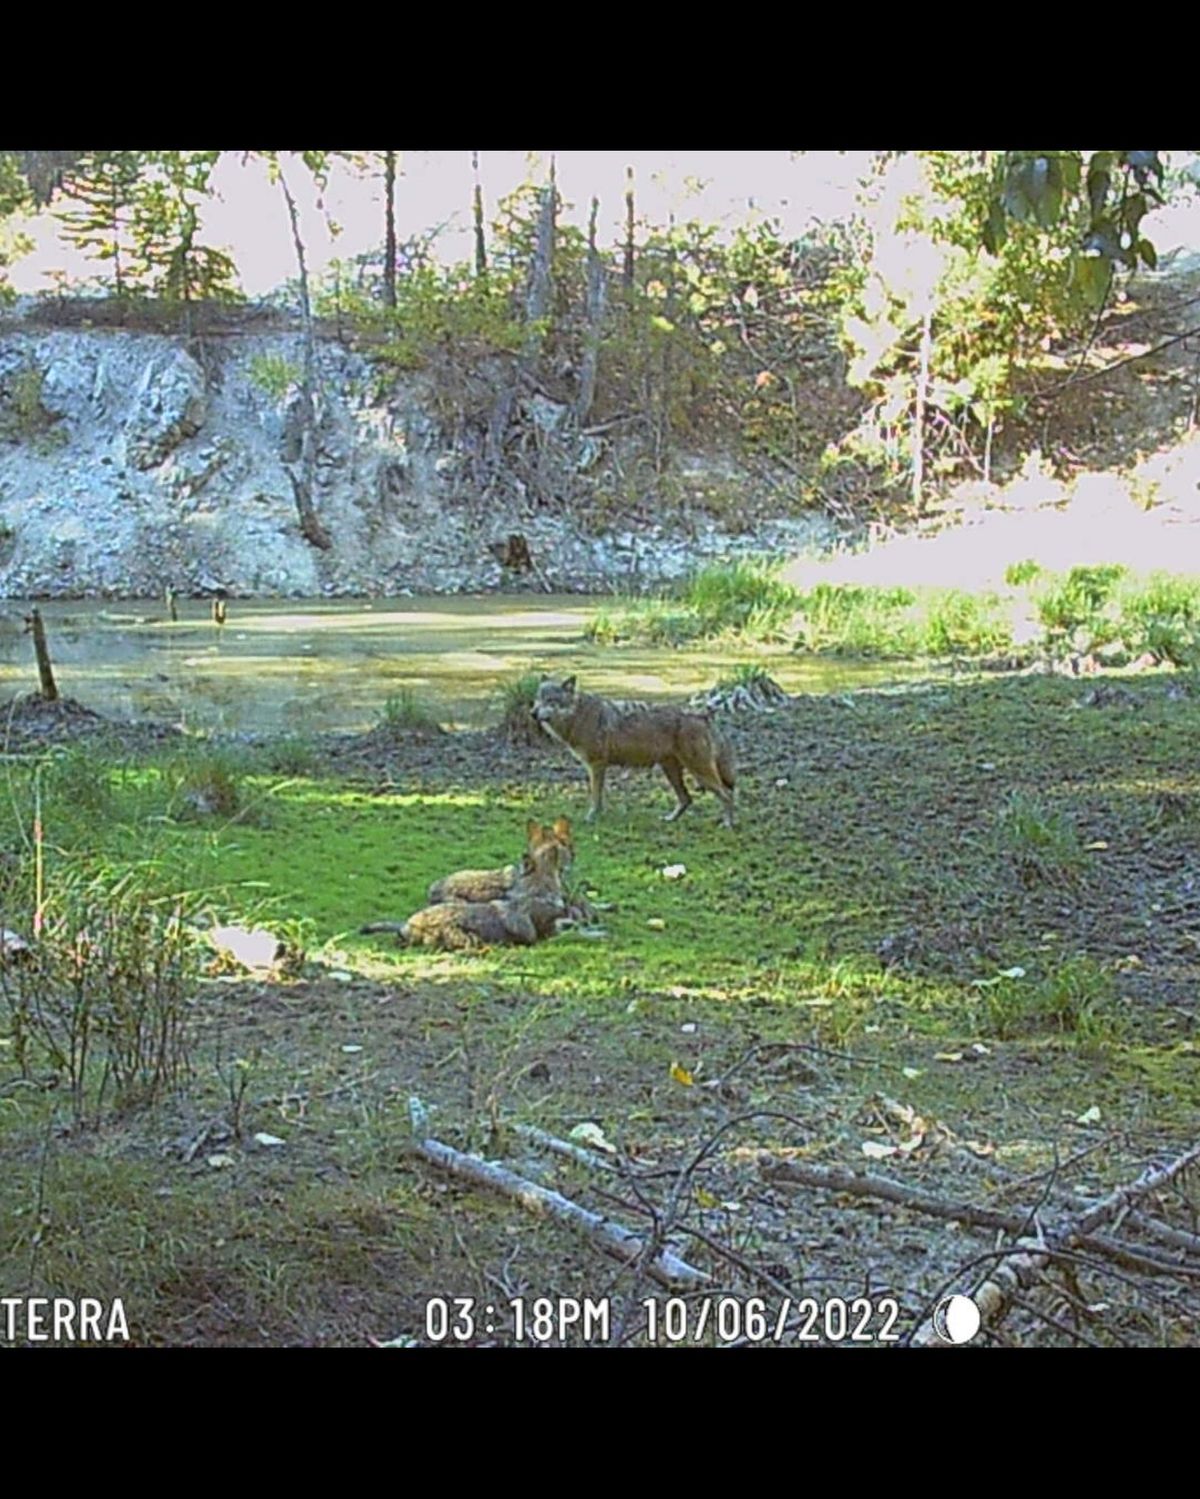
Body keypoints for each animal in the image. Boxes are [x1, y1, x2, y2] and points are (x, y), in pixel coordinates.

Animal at [530, 677, 731, 827]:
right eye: (537, 699)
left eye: (550, 700)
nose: (532, 713)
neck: (578, 716)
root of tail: (703, 714)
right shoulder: (598, 767)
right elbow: (599, 797)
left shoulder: (597, 766)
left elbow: (595, 797)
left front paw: (591, 817)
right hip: (671, 771)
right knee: (687, 799)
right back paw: (670, 819)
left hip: (698, 772)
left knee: (727, 795)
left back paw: (728, 824)